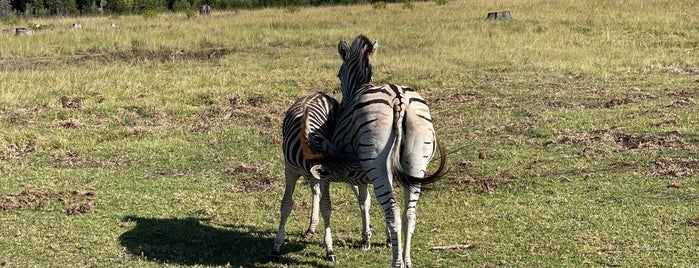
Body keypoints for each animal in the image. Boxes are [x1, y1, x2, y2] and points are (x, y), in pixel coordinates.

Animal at [304, 34, 448, 266]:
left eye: (338, 75)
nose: (342, 105)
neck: (360, 87)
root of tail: (399, 98)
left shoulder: (358, 172)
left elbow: (364, 200)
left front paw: (366, 239)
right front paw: (388, 240)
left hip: (376, 162)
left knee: (394, 211)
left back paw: (397, 262)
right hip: (417, 163)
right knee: (409, 214)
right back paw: (407, 260)